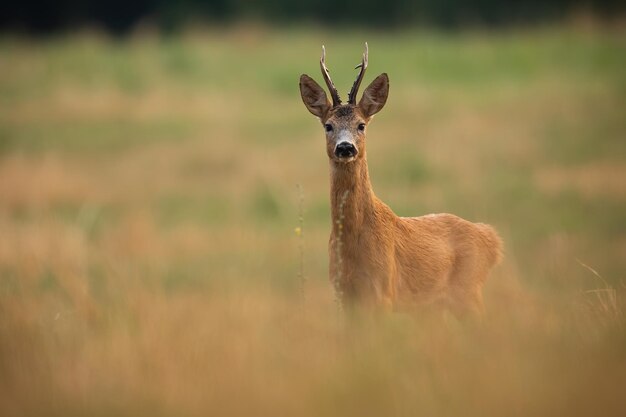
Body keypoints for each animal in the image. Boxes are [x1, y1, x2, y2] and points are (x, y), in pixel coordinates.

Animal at [298, 43, 502, 316]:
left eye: (361, 125)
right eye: (328, 125)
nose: (345, 147)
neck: (353, 242)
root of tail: (491, 238)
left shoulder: (385, 291)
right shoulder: (343, 294)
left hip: (468, 293)